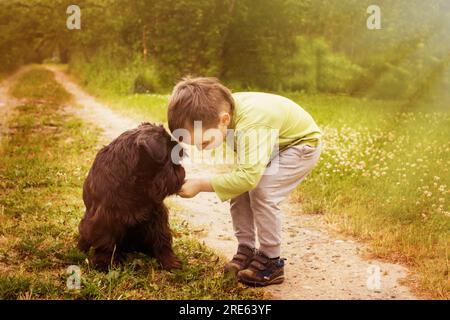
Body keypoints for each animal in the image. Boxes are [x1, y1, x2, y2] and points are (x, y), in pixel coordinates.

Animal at [77, 122, 185, 270]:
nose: (182, 172)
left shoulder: (156, 214)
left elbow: (161, 237)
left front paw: (168, 260)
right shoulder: (105, 217)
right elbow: (105, 241)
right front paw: (104, 262)